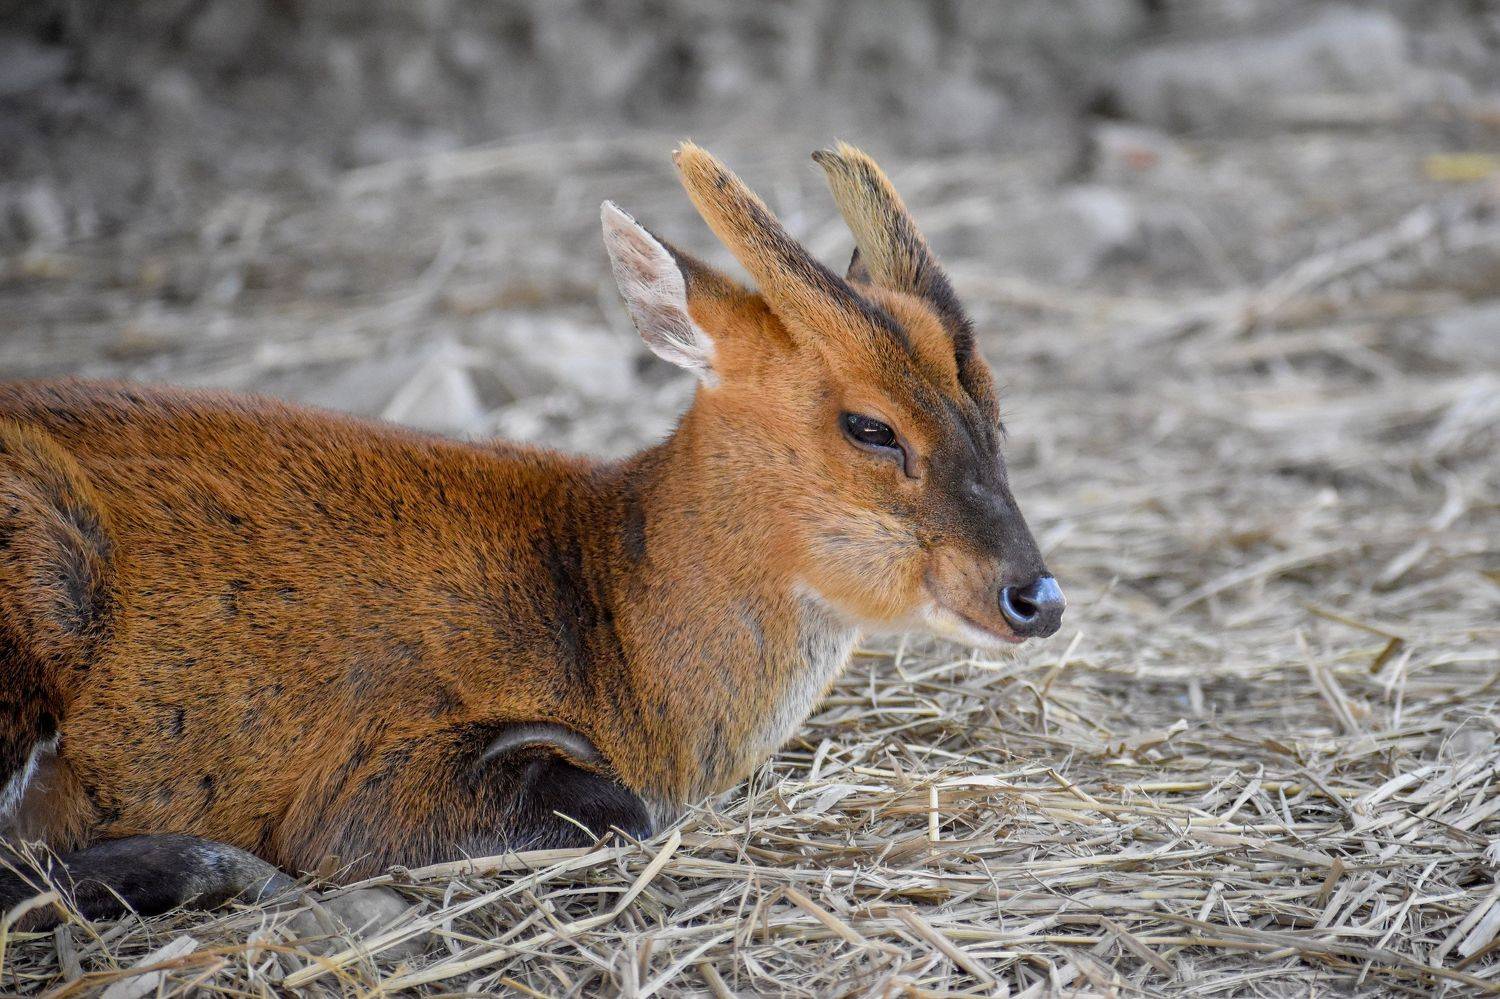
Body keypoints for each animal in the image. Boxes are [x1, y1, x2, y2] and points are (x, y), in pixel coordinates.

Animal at [0, 143, 1064, 927]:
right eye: (871, 426)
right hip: (38, 582)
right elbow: (611, 807)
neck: (620, 642)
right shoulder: (368, 778)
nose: (1036, 597)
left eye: (996, 406)